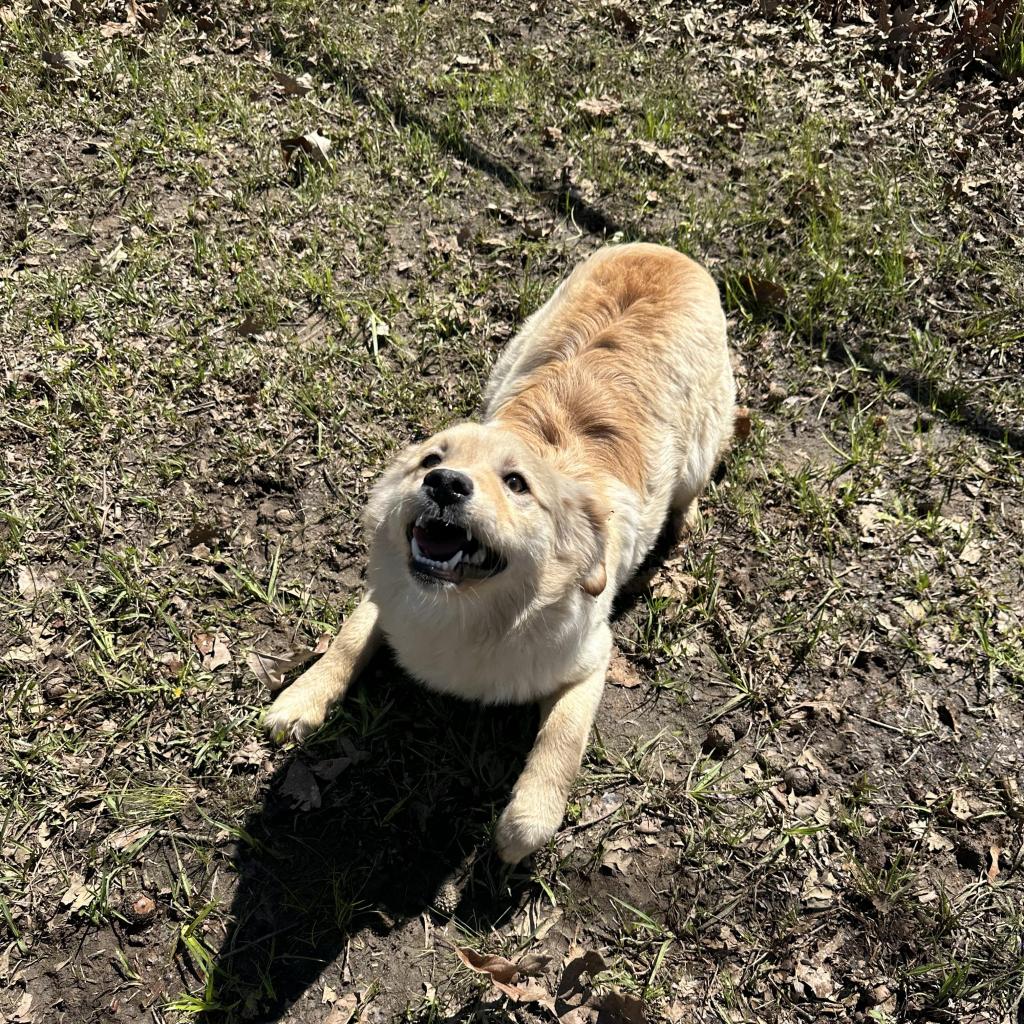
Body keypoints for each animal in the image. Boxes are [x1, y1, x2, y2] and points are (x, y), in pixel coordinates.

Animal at [264, 243, 737, 860]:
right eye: (431, 459)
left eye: (516, 483)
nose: (444, 484)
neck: (466, 612)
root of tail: (664, 250)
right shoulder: (386, 595)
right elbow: (346, 641)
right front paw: (302, 698)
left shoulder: (591, 659)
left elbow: (561, 741)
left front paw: (525, 824)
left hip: (701, 450)